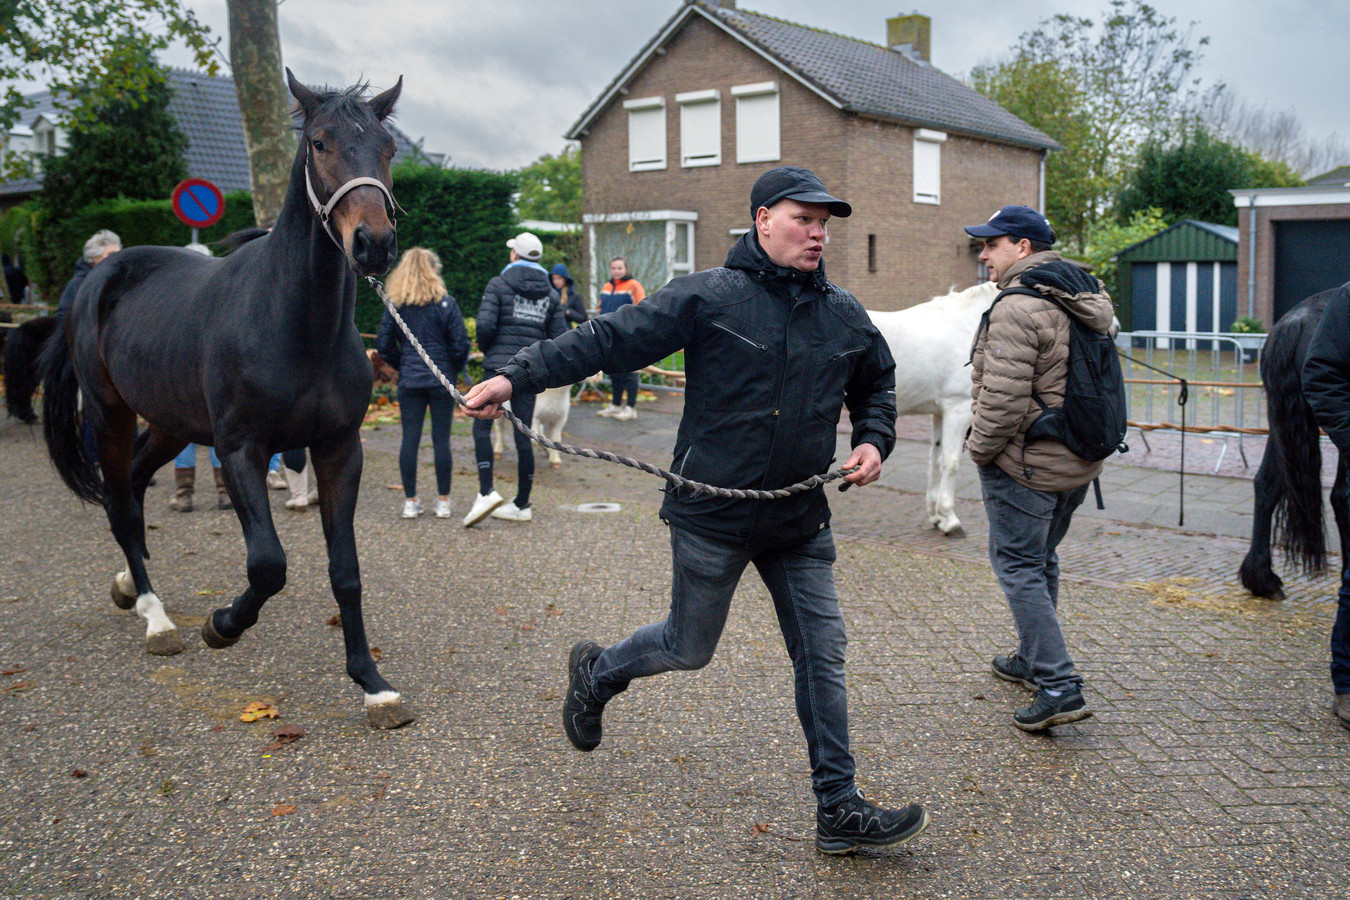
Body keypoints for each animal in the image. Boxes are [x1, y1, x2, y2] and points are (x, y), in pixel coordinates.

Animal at [42, 72, 410, 734]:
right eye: (319, 143)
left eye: (388, 148)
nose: (373, 244)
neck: (295, 323)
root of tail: (97, 278)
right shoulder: (242, 449)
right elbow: (268, 564)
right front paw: (223, 625)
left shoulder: (339, 450)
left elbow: (345, 570)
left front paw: (374, 686)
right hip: (110, 414)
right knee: (120, 504)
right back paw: (157, 618)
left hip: (171, 423)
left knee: (135, 484)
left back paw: (128, 586)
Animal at [864, 282, 1004, 534]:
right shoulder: (957, 410)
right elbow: (951, 461)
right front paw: (950, 518)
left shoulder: (940, 412)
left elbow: (936, 459)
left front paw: (936, 515)